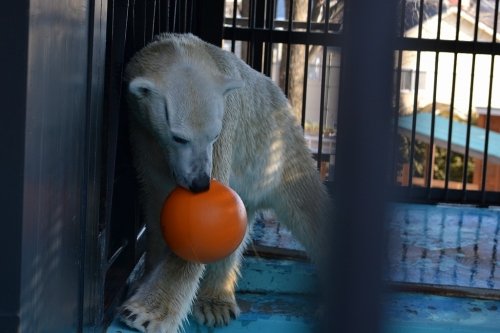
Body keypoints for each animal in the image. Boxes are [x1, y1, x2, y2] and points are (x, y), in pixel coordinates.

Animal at [121, 33, 330, 332]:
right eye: (179, 137)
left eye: (213, 134)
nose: (200, 184)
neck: (188, 51)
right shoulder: (141, 132)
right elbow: (158, 205)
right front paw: (144, 279)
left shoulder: (227, 123)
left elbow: (199, 225)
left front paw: (143, 314)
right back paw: (215, 304)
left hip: (280, 152)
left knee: (309, 209)